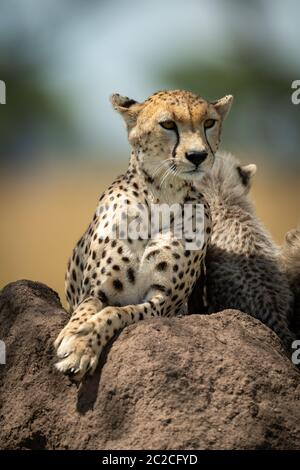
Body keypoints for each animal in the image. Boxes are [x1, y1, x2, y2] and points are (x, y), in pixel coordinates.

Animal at [53, 89, 232, 382]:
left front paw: (80, 347)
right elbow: (84, 310)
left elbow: (116, 312)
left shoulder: (164, 302)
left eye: (209, 123)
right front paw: (71, 334)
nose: (197, 155)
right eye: (168, 124)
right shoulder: (95, 290)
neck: (161, 195)